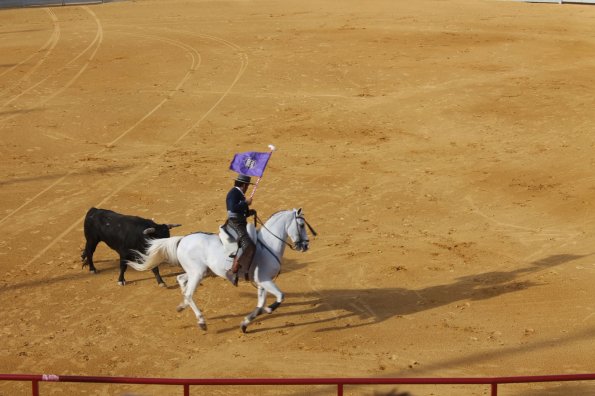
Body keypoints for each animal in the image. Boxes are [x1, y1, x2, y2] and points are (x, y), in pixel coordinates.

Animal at [127, 209, 316, 332]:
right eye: (301, 224)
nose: (305, 245)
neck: (268, 244)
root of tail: (182, 240)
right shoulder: (265, 280)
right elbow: (279, 297)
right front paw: (269, 310)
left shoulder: (262, 282)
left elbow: (260, 303)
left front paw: (245, 323)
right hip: (197, 273)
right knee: (189, 293)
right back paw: (201, 321)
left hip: (198, 271)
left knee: (181, 280)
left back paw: (182, 306)